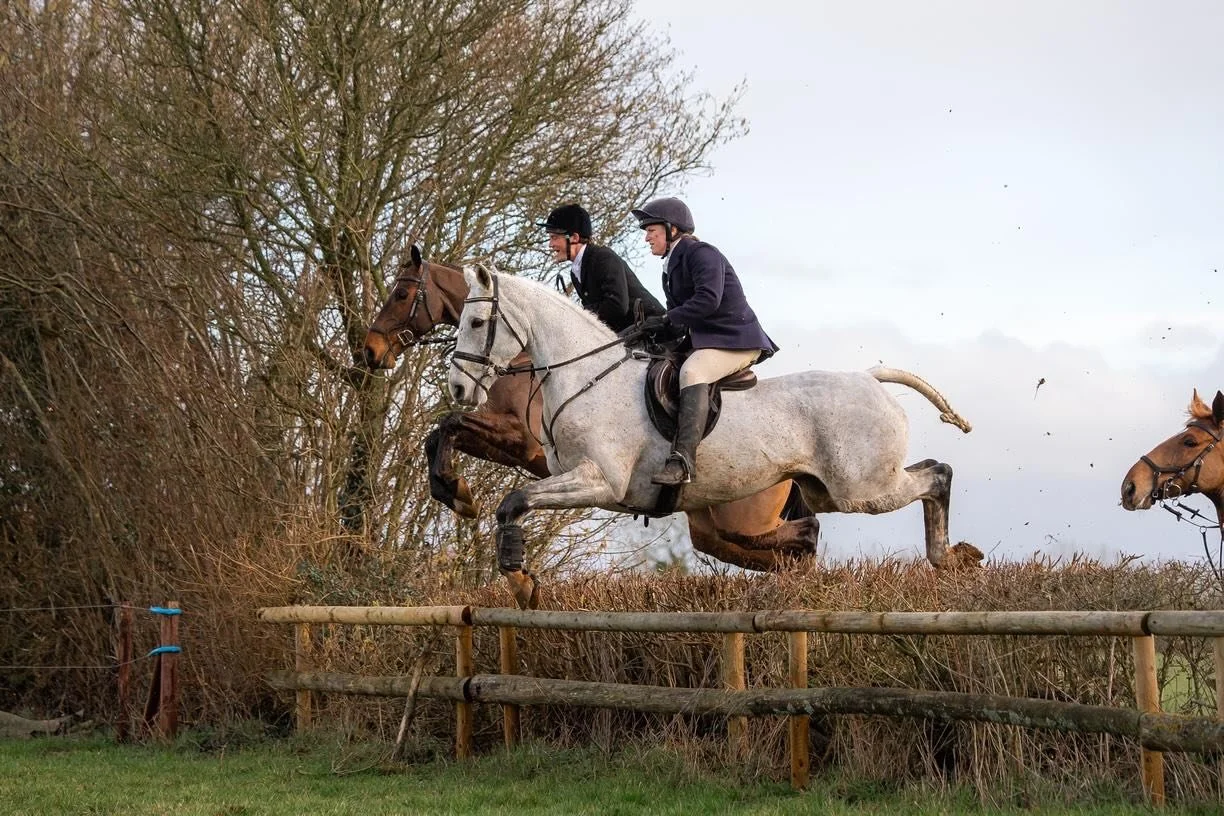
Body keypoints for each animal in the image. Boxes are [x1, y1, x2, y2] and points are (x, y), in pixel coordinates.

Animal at [363, 246, 819, 572]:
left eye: (401, 294)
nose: (370, 352)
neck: (533, 361)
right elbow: (443, 430)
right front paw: (455, 492)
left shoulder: (520, 442)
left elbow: (453, 422)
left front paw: (458, 493)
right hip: (714, 527)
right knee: (786, 551)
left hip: (736, 516)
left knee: (800, 538)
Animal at [447, 263, 980, 608]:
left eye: (476, 321)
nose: (457, 388)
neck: (586, 377)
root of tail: (869, 379)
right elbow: (514, 502)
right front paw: (520, 579)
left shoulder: (599, 481)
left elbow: (513, 502)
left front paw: (522, 585)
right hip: (828, 490)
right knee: (920, 478)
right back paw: (951, 559)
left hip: (862, 488)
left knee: (937, 475)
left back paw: (949, 557)